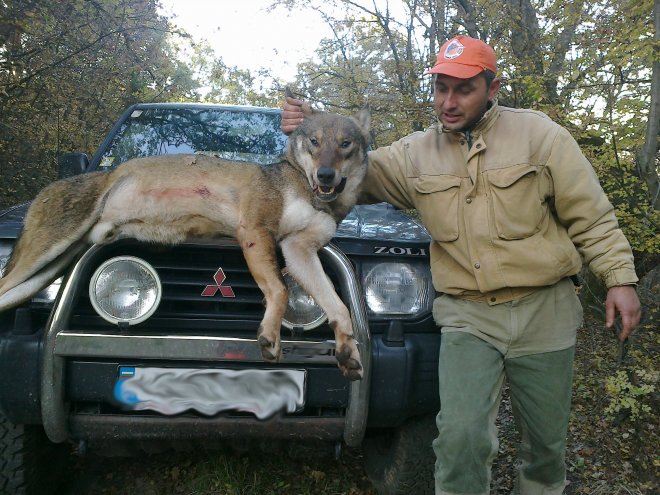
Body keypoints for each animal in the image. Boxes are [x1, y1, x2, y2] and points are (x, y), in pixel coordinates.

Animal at [0, 101, 372, 380]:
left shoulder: (298, 250)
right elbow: (279, 291)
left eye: (345, 144)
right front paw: (269, 336)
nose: (326, 175)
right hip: (41, 257)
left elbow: (339, 309)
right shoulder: (254, 231)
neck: (306, 189)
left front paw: (348, 351)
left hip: (46, 269)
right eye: (314, 142)